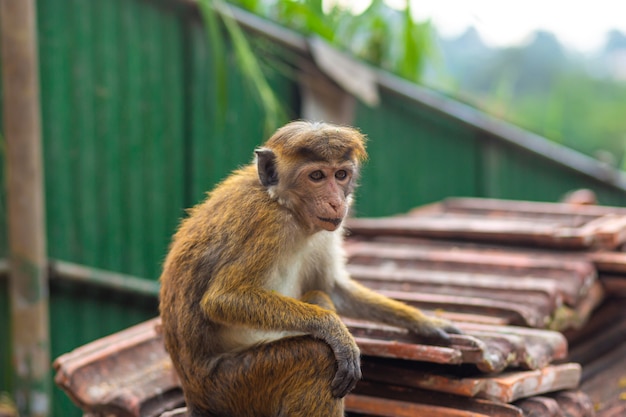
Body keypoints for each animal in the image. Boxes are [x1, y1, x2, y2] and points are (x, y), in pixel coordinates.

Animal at [158, 120, 456, 416]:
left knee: (318, 296)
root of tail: (194, 398)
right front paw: (336, 332)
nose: (337, 202)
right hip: (230, 387)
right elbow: (222, 298)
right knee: (317, 356)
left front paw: (425, 322)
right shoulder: (268, 222)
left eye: (340, 175)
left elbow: (332, 289)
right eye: (316, 176)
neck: (283, 203)